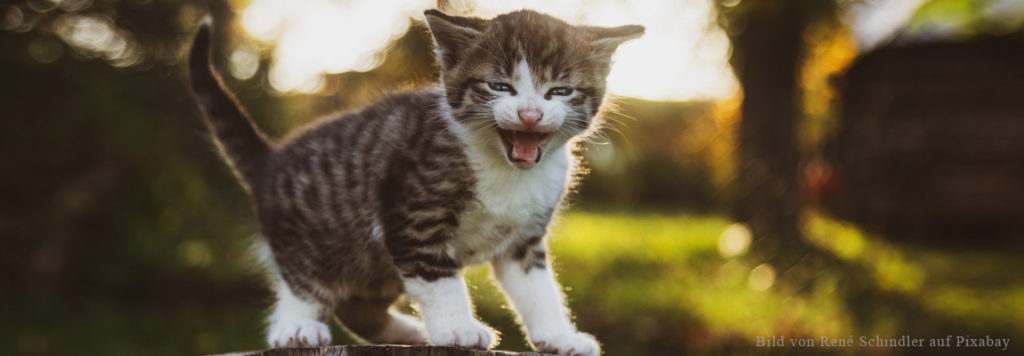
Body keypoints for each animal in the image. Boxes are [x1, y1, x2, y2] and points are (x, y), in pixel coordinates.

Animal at [186, 8, 638, 356]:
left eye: (559, 91)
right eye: (499, 86)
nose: (530, 114)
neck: (505, 169)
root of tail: (271, 160)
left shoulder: (525, 239)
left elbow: (538, 289)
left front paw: (559, 336)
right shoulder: (412, 209)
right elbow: (437, 276)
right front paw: (457, 328)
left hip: (373, 264)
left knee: (359, 308)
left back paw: (411, 332)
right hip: (318, 235)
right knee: (303, 280)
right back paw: (295, 327)